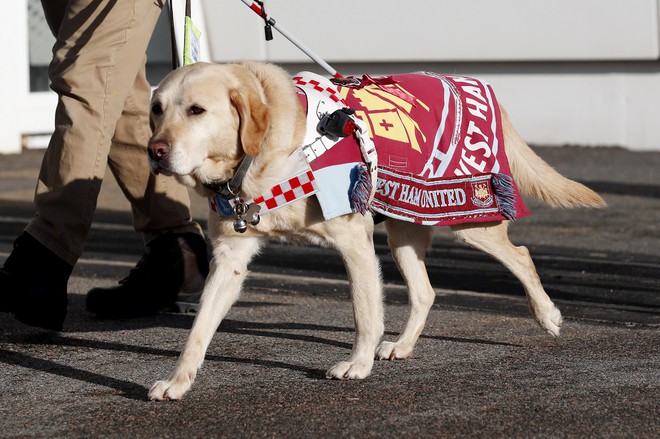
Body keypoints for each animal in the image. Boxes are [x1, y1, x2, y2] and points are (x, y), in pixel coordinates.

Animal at [146, 62, 604, 402]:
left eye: (197, 110)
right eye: (156, 109)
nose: (155, 151)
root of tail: (470, 82)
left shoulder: (354, 242)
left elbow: (365, 315)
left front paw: (357, 365)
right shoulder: (230, 258)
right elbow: (199, 330)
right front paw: (179, 381)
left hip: (470, 221)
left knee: (522, 255)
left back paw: (547, 316)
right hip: (404, 231)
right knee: (425, 292)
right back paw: (403, 345)